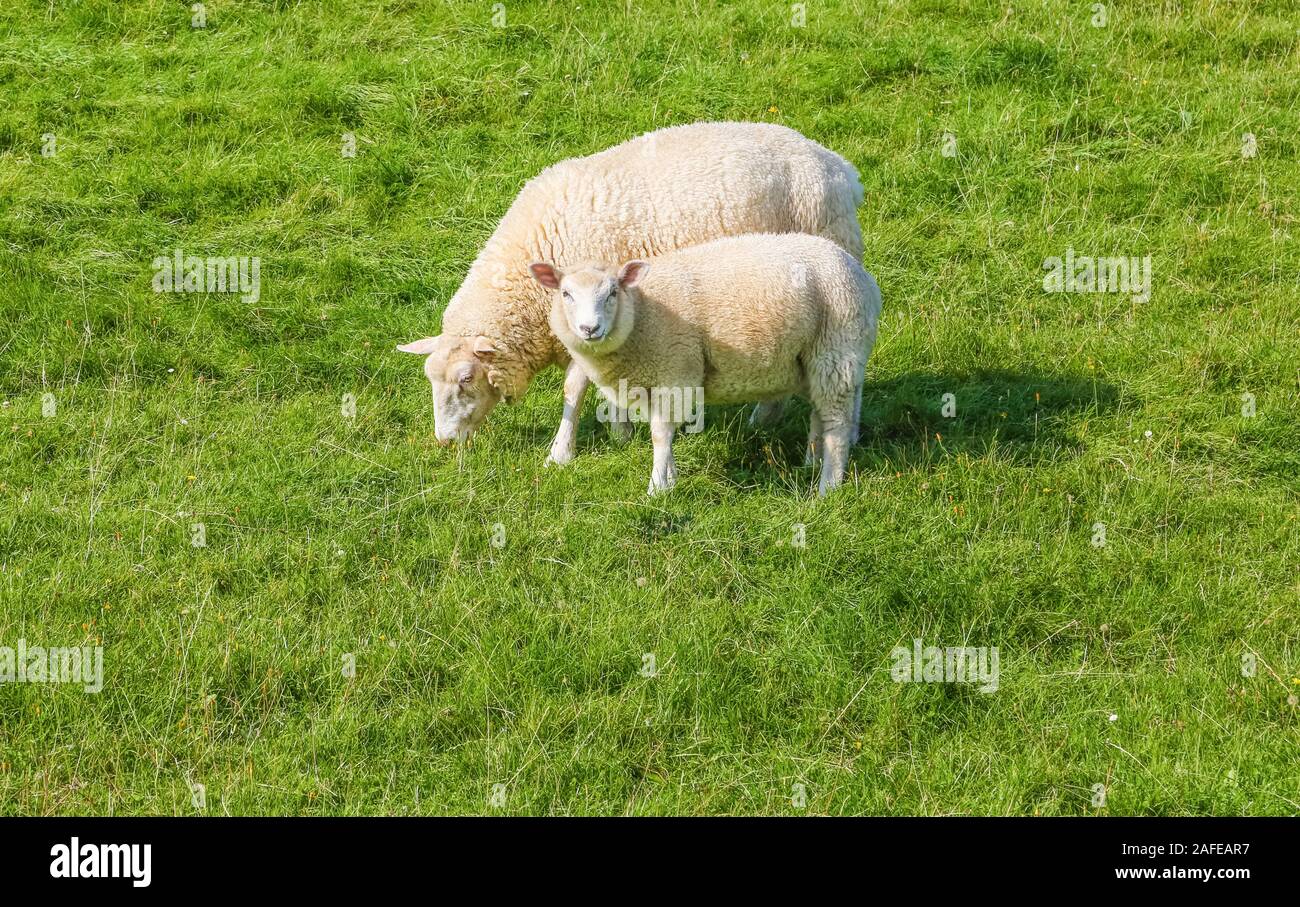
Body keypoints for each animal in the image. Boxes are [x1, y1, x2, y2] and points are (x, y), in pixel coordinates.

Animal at [395, 120, 863, 462]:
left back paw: (844, 433)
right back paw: (765, 417)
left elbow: (573, 390)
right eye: (431, 377)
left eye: (466, 378)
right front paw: (620, 429)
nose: (443, 440)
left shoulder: (591, 320)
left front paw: (561, 453)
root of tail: (839, 167)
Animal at [527, 229, 883, 491]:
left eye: (613, 292)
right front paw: (670, 477)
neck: (643, 313)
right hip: (815, 360)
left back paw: (828, 487)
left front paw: (657, 488)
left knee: (837, 424)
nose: (590, 329)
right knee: (820, 414)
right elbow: (662, 432)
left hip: (837, 349)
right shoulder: (657, 381)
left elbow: (660, 433)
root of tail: (864, 277)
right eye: (566, 294)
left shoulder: (675, 370)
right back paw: (812, 462)